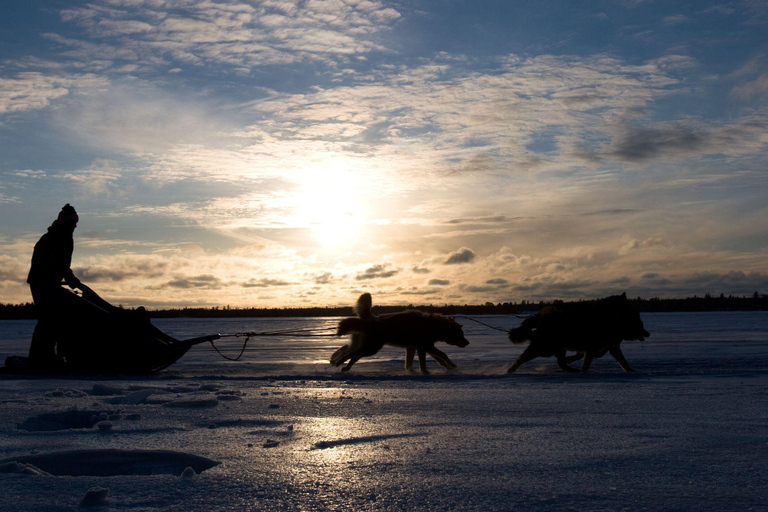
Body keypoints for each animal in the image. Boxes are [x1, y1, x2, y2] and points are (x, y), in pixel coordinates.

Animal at [332, 294, 472, 374]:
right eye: (460, 334)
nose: (468, 342)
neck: (434, 325)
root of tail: (372, 320)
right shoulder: (426, 346)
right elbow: (442, 355)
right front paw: (431, 371)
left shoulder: (418, 347)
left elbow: (434, 360)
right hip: (371, 349)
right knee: (350, 354)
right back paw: (338, 363)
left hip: (368, 348)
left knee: (353, 356)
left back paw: (344, 367)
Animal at [508, 294, 652, 374]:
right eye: (640, 325)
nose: (648, 333)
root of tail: (538, 316)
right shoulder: (592, 348)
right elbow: (586, 362)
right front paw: (584, 372)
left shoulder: (611, 347)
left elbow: (623, 361)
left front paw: (630, 371)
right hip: (545, 348)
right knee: (520, 359)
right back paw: (509, 371)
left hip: (558, 348)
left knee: (561, 362)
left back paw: (571, 369)